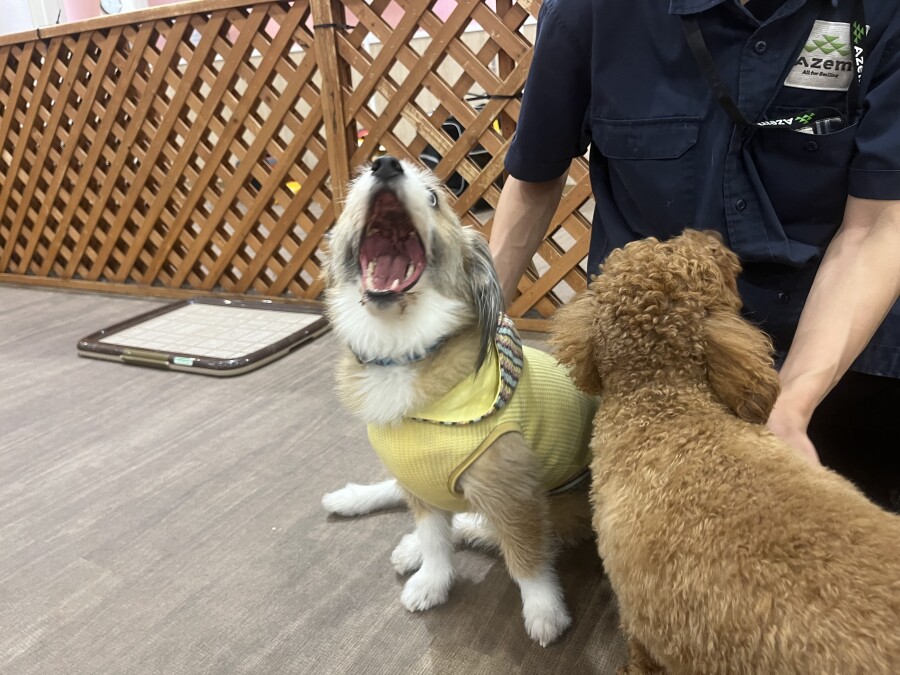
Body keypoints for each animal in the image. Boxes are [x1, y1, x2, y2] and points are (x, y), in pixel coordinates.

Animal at [320, 156, 598, 645]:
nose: (386, 165)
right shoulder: (417, 476)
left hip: (566, 506)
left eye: (434, 198)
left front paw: (545, 613)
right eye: (354, 188)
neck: (404, 350)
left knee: (486, 528)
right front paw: (431, 581)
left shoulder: (513, 492)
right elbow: (434, 542)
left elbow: (526, 559)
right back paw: (357, 505)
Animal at [551, 229, 900, 673]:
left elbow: (642, 656)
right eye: (687, 248)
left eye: (700, 254)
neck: (663, 404)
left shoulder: (640, 615)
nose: (713, 235)